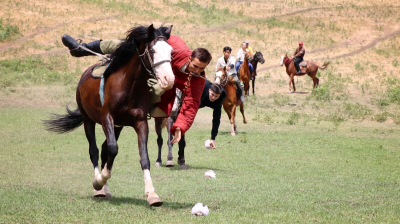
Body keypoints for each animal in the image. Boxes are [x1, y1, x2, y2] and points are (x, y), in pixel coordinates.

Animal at [44, 25, 175, 206]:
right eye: (153, 50)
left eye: (171, 51)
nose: (168, 79)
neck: (129, 86)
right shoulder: (107, 117)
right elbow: (113, 149)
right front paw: (100, 181)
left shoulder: (140, 122)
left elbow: (143, 157)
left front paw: (152, 194)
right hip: (88, 120)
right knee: (94, 150)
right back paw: (99, 188)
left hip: (117, 127)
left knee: (104, 149)